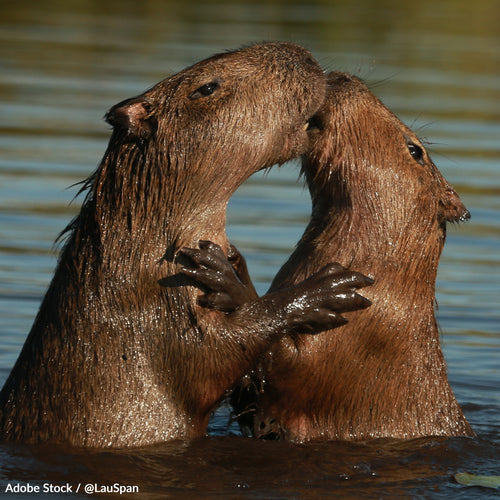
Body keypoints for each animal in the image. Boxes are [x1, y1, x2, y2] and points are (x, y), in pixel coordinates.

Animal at [0, 45, 376, 448]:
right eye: (207, 87)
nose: (302, 53)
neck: (133, 251)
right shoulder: (149, 304)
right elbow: (216, 354)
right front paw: (327, 290)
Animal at [189, 71, 474, 442]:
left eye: (415, 149)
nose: (343, 77)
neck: (389, 291)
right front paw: (235, 261)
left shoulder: (366, 336)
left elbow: (282, 367)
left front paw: (225, 276)